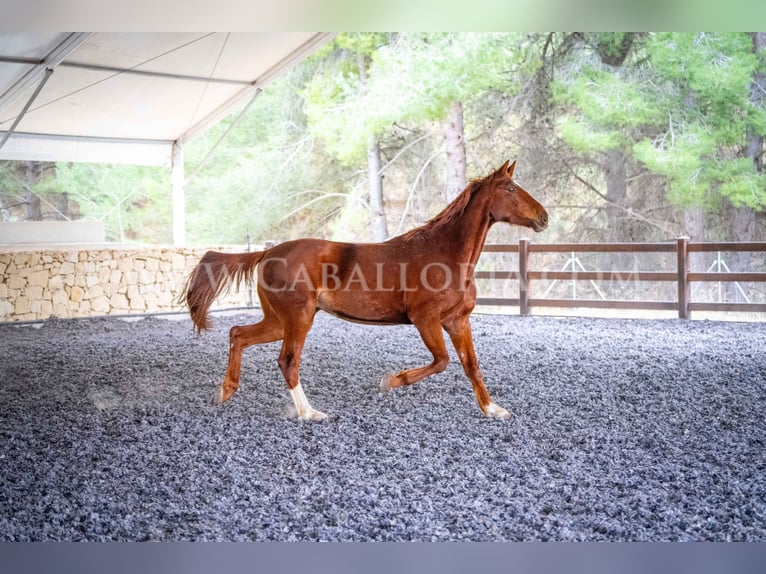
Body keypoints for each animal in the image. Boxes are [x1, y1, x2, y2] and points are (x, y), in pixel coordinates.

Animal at [183, 160, 548, 420]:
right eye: (511, 188)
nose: (544, 217)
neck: (445, 254)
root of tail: (266, 253)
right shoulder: (425, 319)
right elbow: (442, 361)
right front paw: (391, 381)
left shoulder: (458, 321)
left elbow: (471, 365)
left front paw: (493, 409)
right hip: (298, 318)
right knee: (287, 360)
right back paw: (309, 413)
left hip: (278, 321)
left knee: (238, 333)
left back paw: (225, 391)